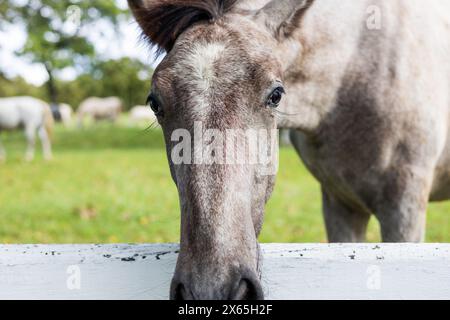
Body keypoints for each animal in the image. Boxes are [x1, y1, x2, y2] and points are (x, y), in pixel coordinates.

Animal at [128, 0, 450, 300]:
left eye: (276, 95)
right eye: (155, 103)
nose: (211, 289)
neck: (358, 64)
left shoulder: (403, 207)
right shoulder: (341, 204)